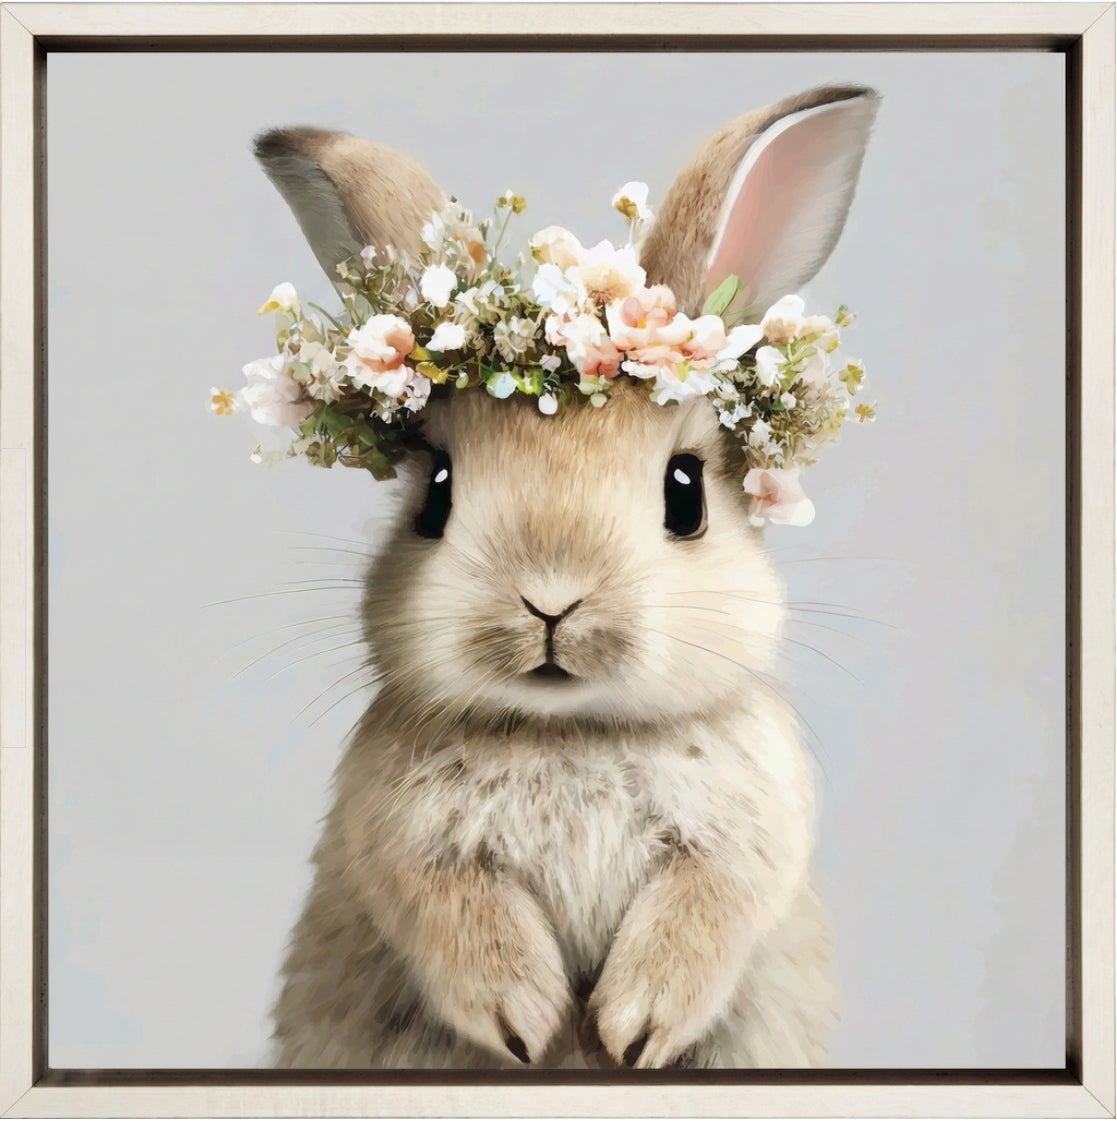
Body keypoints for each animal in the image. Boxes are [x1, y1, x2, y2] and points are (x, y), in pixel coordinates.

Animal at [257, 83, 879, 1070]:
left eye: (684, 495)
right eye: (435, 493)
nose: (550, 599)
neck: (571, 732)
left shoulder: (747, 838)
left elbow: (704, 912)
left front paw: (633, 1029)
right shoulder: (403, 846)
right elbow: (456, 919)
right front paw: (528, 1022)